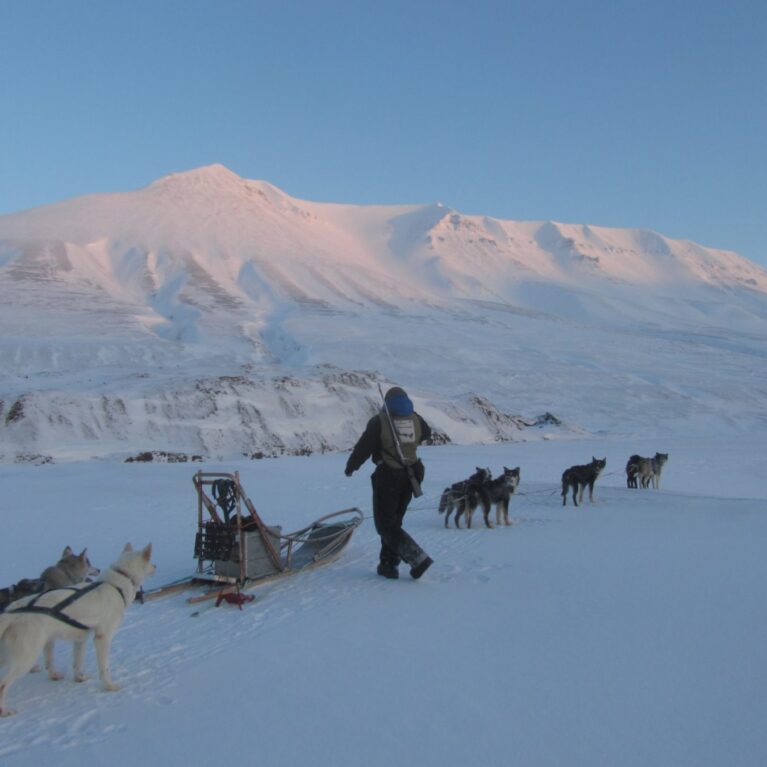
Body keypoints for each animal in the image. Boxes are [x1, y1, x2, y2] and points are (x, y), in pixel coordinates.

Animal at [0, 544, 156, 716]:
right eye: (150, 560)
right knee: (3, 685)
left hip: (40, 645)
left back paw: (54, 675)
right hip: (24, 660)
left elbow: (77, 662)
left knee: (49, 663)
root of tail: (11, 614)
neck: (115, 584)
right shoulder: (102, 638)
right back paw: (5, 711)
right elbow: (104, 668)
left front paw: (79, 678)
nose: (156, 566)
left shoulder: (80, 638)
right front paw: (109, 686)